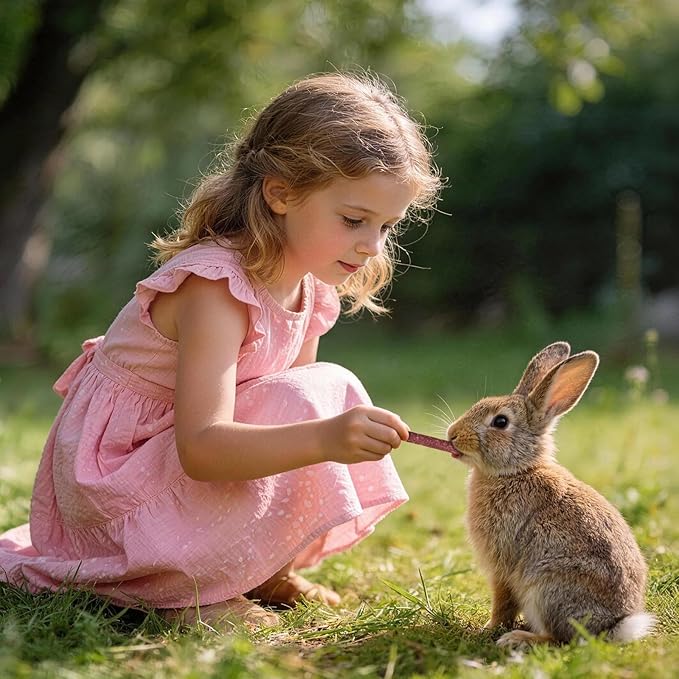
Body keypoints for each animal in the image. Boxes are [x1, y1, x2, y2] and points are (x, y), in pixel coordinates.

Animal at [445, 341, 655, 647]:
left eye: (500, 422)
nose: (452, 434)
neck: (515, 471)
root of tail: (613, 626)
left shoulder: (503, 566)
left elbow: (503, 601)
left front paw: (489, 628)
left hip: (546, 591)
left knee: (559, 638)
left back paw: (518, 638)